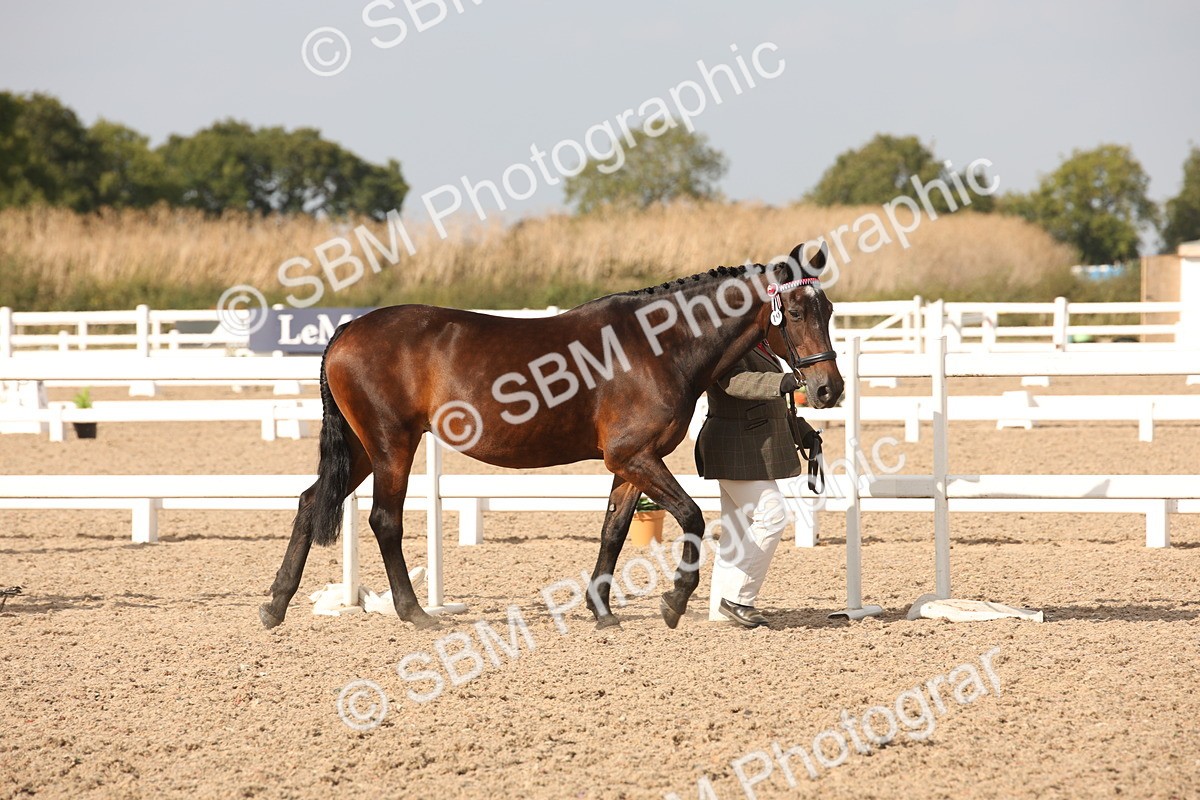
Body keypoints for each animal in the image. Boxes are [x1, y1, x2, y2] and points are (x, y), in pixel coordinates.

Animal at [259, 242, 844, 631]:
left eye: (831, 309)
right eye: (795, 311)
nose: (828, 388)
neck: (658, 346)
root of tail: (347, 330)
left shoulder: (629, 464)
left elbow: (614, 530)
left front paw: (601, 610)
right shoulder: (635, 456)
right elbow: (693, 518)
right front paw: (674, 602)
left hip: (363, 449)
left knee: (310, 502)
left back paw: (275, 605)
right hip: (390, 445)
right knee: (385, 520)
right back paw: (414, 612)